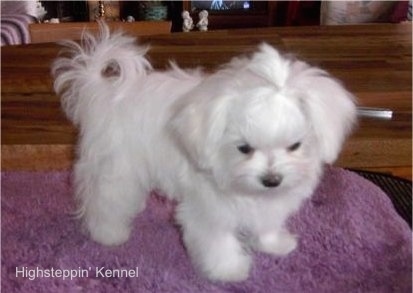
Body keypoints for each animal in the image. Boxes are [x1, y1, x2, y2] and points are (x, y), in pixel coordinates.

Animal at [52, 24, 354, 280]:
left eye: (295, 146)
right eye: (244, 148)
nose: (272, 180)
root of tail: (103, 91)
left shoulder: (270, 201)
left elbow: (266, 221)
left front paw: (274, 244)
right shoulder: (208, 207)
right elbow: (217, 239)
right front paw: (229, 270)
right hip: (117, 166)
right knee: (105, 199)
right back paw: (109, 233)